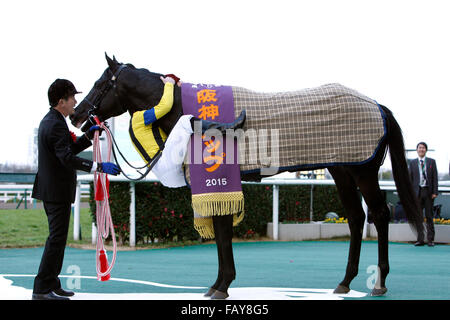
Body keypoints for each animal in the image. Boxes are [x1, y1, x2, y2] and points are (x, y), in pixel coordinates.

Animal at [70, 53, 422, 298]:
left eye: (101, 84)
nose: (75, 114)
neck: (186, 113)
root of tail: (377, 106)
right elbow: (220, 233)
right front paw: (217, 284)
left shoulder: (221, 183)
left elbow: (223, 234)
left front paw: (222, 285)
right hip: (341, 170)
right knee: (355, 218)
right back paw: (345, 282)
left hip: (363, 171)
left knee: (379, 214)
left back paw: (378, 283)